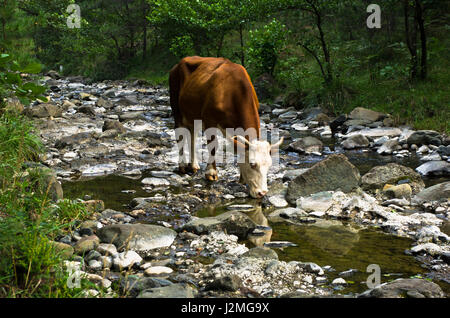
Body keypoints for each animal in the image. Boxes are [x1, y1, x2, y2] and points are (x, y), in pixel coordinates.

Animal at [169, 56, 282, 198]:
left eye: (269, 165)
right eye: (252, 164)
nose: (262, 193)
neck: (232, 92)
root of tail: (180, 62)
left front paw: (241, 178)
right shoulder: (209, 119)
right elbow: (213, 146)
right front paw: (211, 173)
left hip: (193, 114)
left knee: (192, 134)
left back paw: (193, 165)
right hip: (176, 108)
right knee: (180, 135)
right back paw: (182, 165)